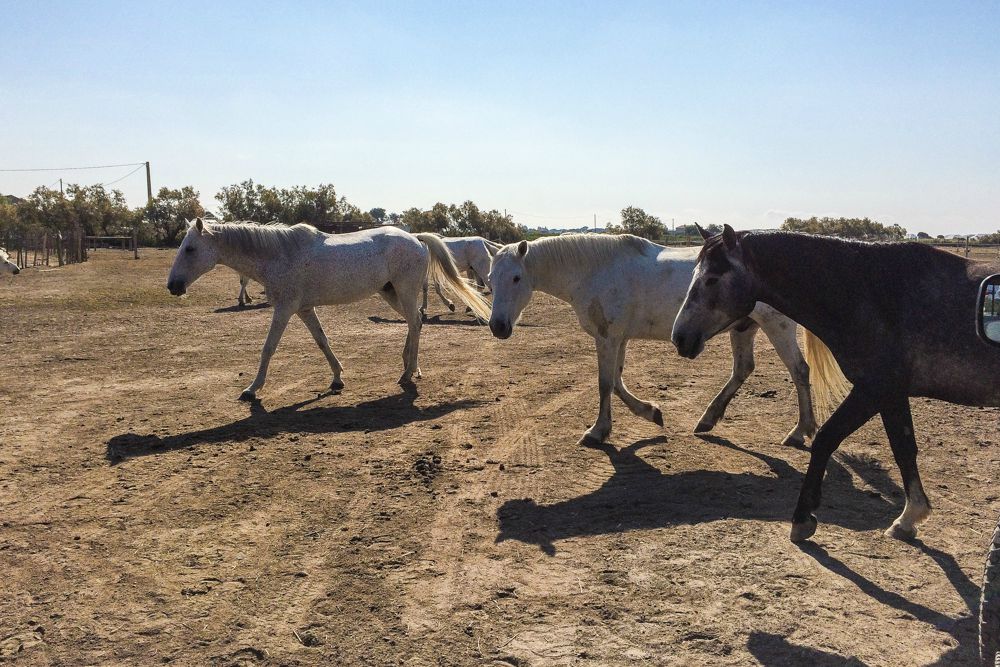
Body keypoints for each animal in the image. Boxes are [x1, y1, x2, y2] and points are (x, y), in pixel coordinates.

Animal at [168, 219, 492, 400]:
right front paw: (337, 378)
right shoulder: (304, 309)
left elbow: (268, 348)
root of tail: (417, 239)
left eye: (190, 249)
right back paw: (410, 367)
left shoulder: (284, 308)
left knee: (415, 321)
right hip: (390, 293)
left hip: (405, 291)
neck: (280, 254)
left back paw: (408, 372)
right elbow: (322, 341)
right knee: (416, 323)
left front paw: (252, 389)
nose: (173, 286)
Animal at [488, 234, 816, 448]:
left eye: (516, 278)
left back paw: (800, 431)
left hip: (776, 326)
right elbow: (616, 382)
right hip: (744, 328)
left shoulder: (607, 338)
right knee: (743, 369)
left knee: (799, 370)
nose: (498, 326)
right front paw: (650, 412)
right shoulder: (618, 338)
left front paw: (597, 431)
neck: (595, 270)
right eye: (490, 278)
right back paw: (707, 419)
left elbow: (605, 383)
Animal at [668, 224, 1000, 544]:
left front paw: (802, 519)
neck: (874, 294)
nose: (680, 337)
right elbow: (903, 449)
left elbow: (826, 439)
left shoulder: (873, 390)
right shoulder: (891, 394)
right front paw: (909, 518)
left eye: (711, 279)